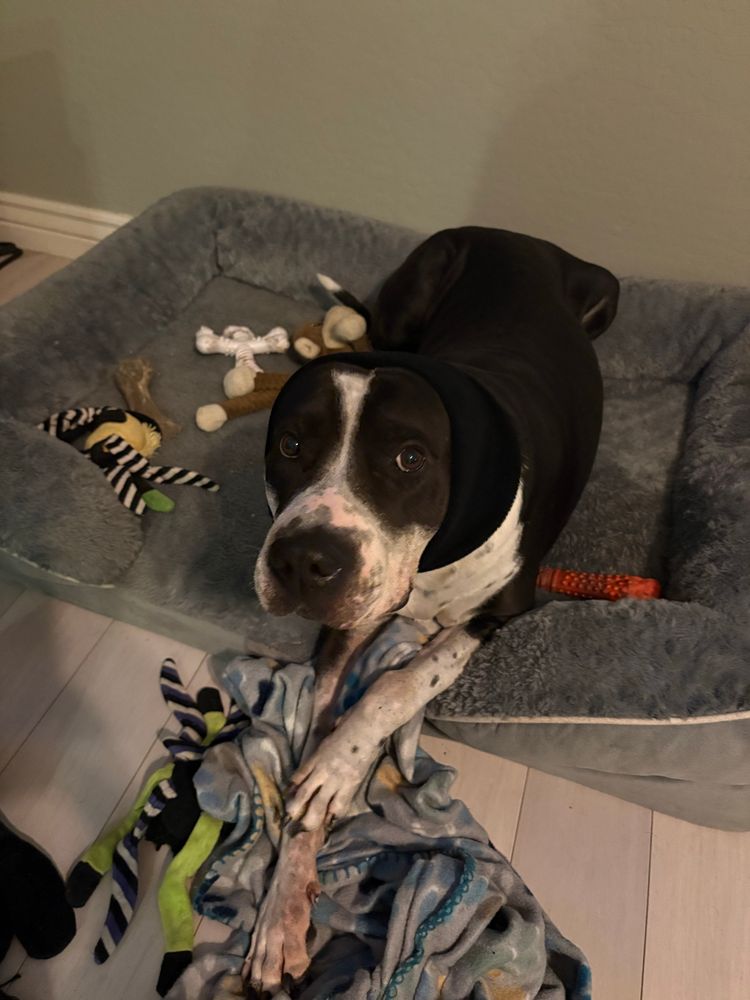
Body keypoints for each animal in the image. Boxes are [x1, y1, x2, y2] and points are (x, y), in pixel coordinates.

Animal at [245, 227, 619, 990]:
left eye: (410, 459)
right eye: (291, 445)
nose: (302, 561)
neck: (429, 562)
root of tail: (521, 238)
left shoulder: (495, 614)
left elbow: (399, 683)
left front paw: (338, 766)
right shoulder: (343, 629)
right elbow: (321, 739)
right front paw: (280, 912)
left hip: (607, 295)